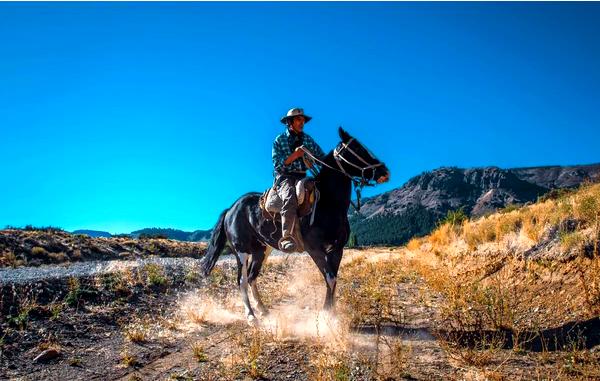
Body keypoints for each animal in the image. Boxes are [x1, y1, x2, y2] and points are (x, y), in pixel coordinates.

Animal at [199, 127, 392, 324]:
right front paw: (326, 316)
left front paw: (332, 315)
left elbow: (334, 280)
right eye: (357, 148)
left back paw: (264, 310)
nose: (384, 171)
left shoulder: (337, 249)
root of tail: (231, 209)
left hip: (261, 250)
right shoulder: (315, 249)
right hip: (241, 250)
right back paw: (251, 316)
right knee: (242, 280)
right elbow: (330, 278)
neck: (328, 204)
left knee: (252, 277)